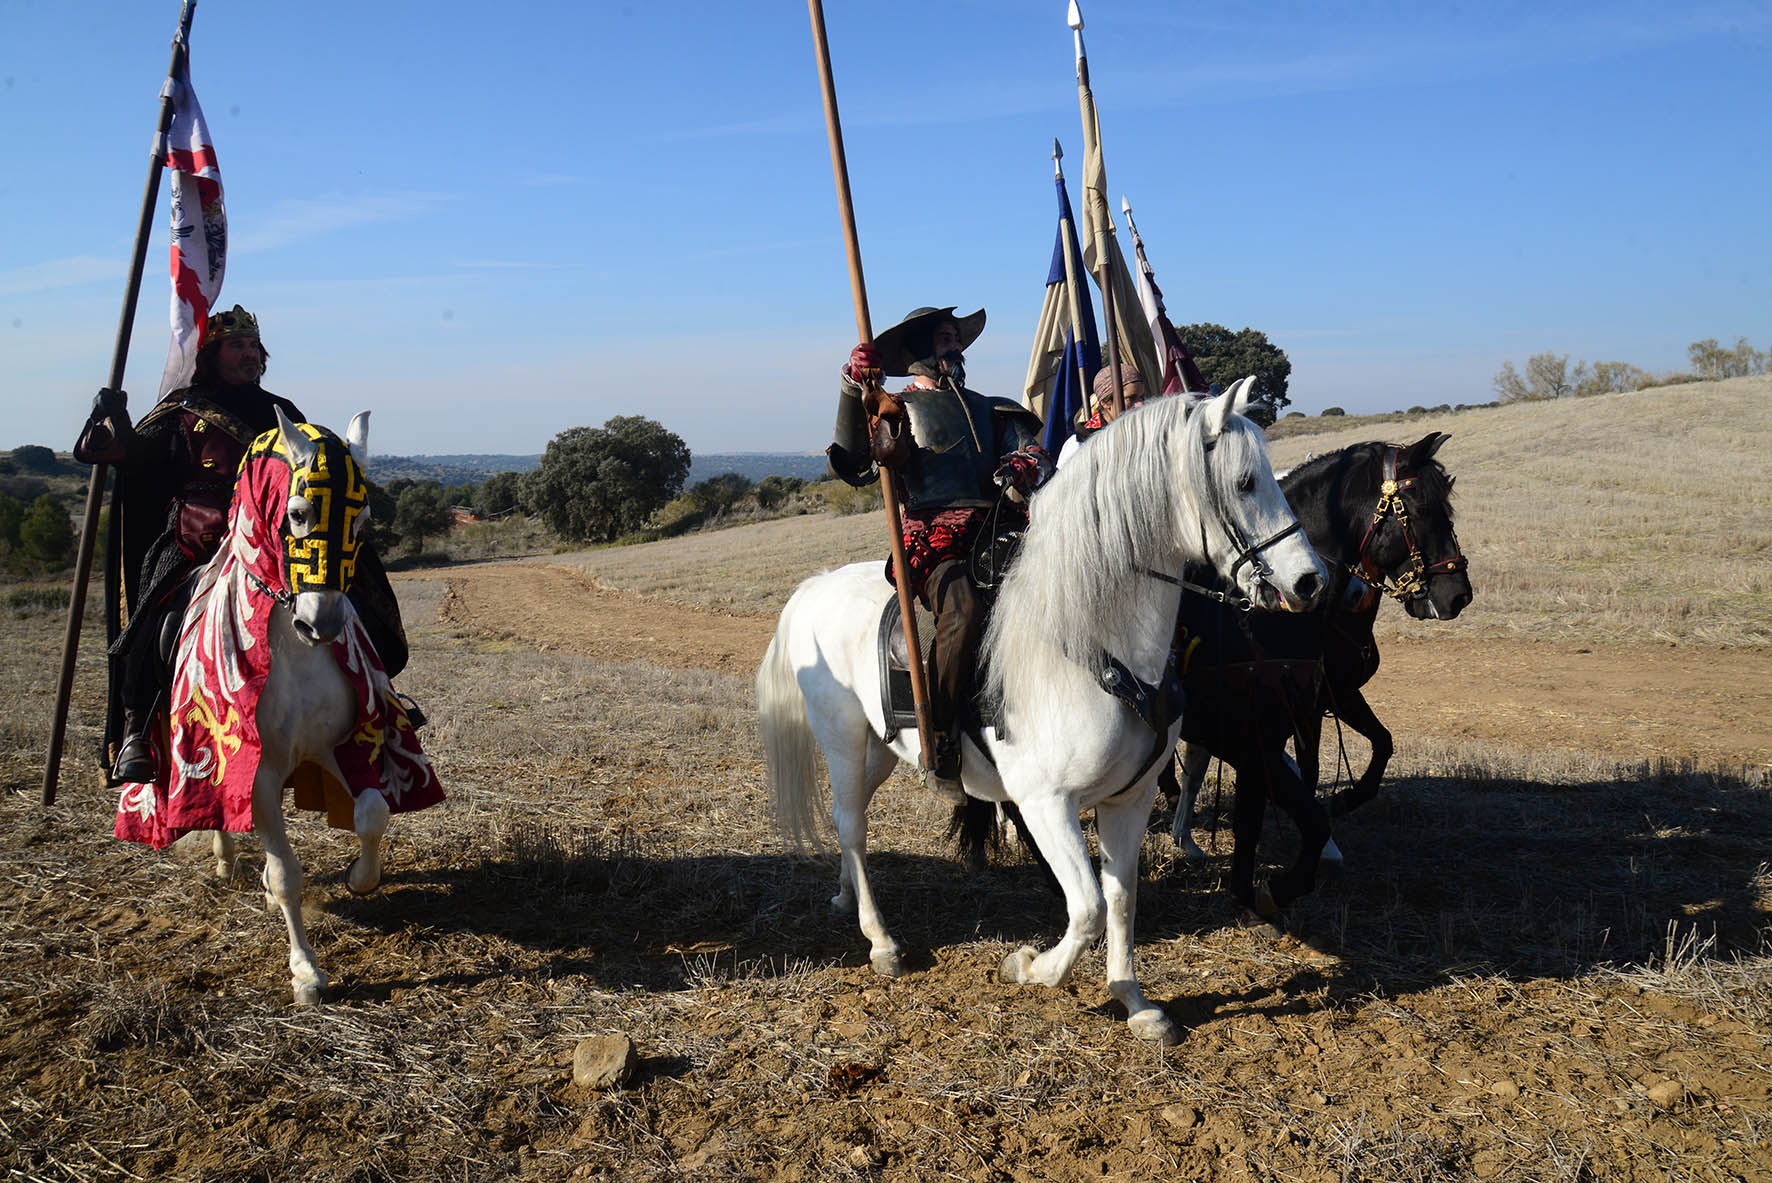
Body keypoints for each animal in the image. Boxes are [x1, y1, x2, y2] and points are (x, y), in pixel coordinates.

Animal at [754, 384, 1325, 1041]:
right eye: (1244, 482)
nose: (1311, 582)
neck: (1091, 642)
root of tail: (813, 588)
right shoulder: (1045, 803)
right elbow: (1088, 908)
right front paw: (1030, 967)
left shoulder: (1129, 800)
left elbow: (1121, 898)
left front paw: (1134, 1002)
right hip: (843, 740)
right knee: (850, 824)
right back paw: (880, 941)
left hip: (883, 749)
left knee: (855, 826)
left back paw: (848, 896)